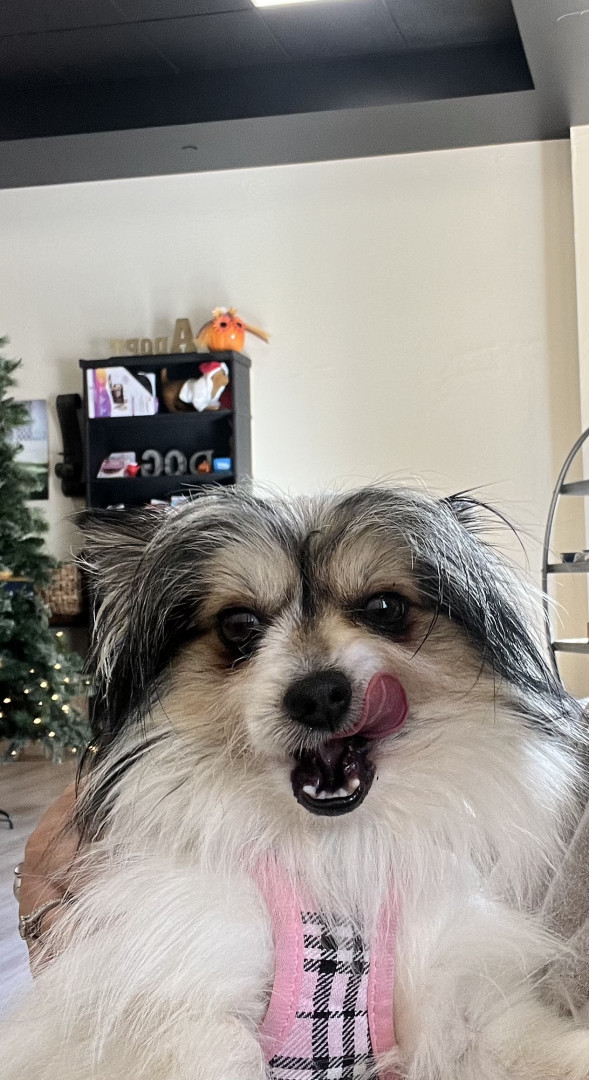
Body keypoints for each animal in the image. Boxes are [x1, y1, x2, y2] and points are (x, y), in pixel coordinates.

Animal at [2, 484, 589, 1080]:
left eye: (386, 608)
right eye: (238, 624)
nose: (318, 695)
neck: (331, 852)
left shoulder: (451, 996)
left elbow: (523, 1045)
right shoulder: (188, 997)